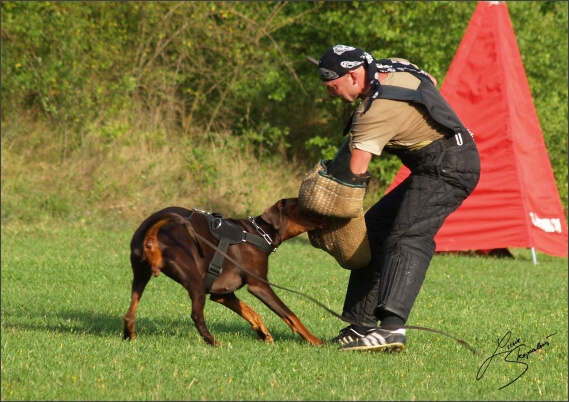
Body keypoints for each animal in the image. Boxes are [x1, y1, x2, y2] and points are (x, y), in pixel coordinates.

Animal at [123, 198, 328, 346]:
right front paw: (315, 340)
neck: (260, 233)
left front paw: (262, 332)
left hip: (140, 275)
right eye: (304, 206)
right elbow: (290, 314)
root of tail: (153, 233)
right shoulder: (259, 285)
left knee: (130, 312)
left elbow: (251, 312)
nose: (328, 216)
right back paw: (214, 342)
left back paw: (129, 336)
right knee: (196, 316)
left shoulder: (222, 293)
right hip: (194, 282)